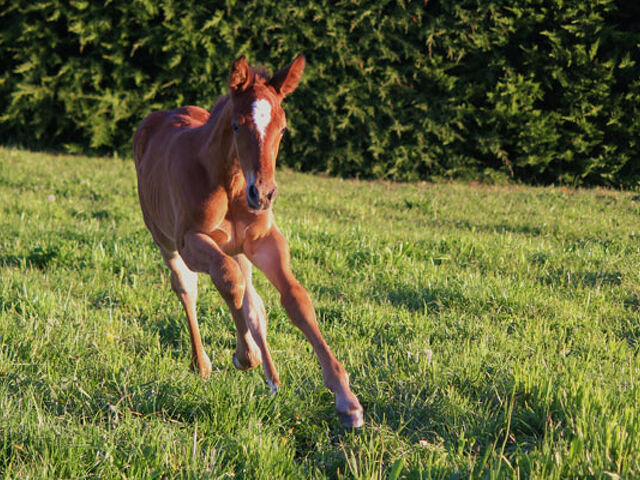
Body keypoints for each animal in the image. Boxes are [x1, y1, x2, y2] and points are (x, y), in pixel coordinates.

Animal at [132, 55, 363, 428]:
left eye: (282, 129)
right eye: (237, 126)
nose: (264, 194)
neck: (231, 181)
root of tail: (159, 116)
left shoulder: (263, 240)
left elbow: (294, 299)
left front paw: (347, 401)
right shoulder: (190, 240)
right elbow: (228, 280)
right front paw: (244, 355)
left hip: (239, 248)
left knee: (254, 301)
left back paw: (272, 377)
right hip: (165, 240)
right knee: (188, 288)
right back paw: (204, 363)